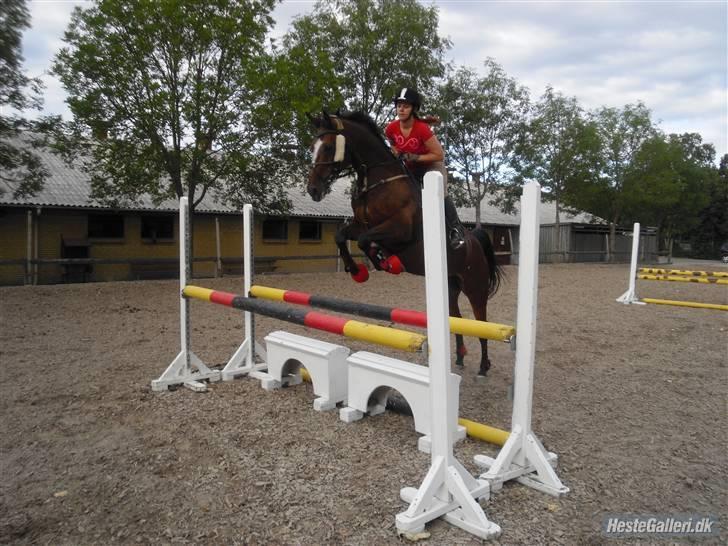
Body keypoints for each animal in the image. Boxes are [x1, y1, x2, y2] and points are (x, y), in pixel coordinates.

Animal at [304, 110, 504, 374]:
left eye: (327, 147)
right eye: (312, 146)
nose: (313, 190)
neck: (377, 180)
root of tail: (475, 242)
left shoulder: (400, 229)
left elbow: (366, 241)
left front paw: (387, 262)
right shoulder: (360, 226)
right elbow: (343, 237)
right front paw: (358, 271)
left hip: (475, 285)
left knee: (482, 320)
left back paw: (483, 365)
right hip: (450, 286)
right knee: (457, 318)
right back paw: (460, 357)